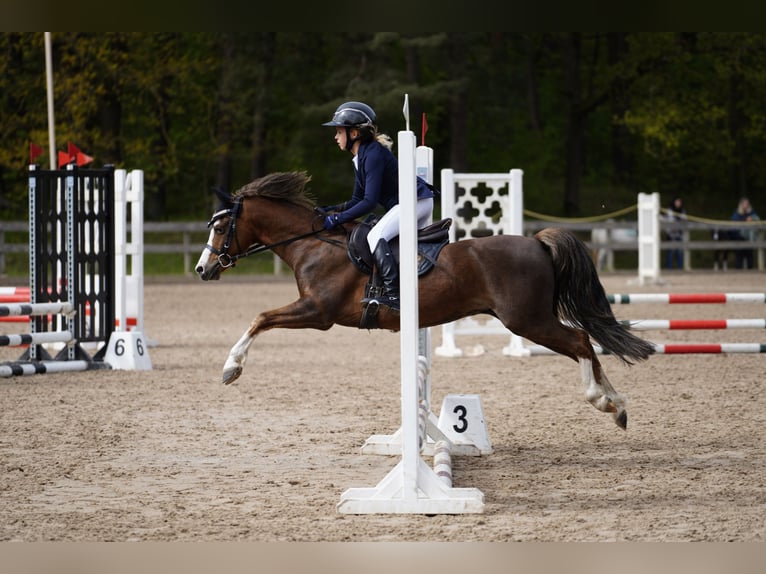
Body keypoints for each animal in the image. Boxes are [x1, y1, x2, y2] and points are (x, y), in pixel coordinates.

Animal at [195, 171, 655, 429]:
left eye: (219, 228)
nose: (202, 269)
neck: (312, 244)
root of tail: (537, 242)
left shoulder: (318, 312)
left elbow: (259, 318)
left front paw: (230, 368)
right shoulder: (312, 311)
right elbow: (261, 318)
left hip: (527, 321)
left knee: (580, 342)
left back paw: (605, 401)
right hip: (528, 319)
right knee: (585, 342)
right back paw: (617, 405)